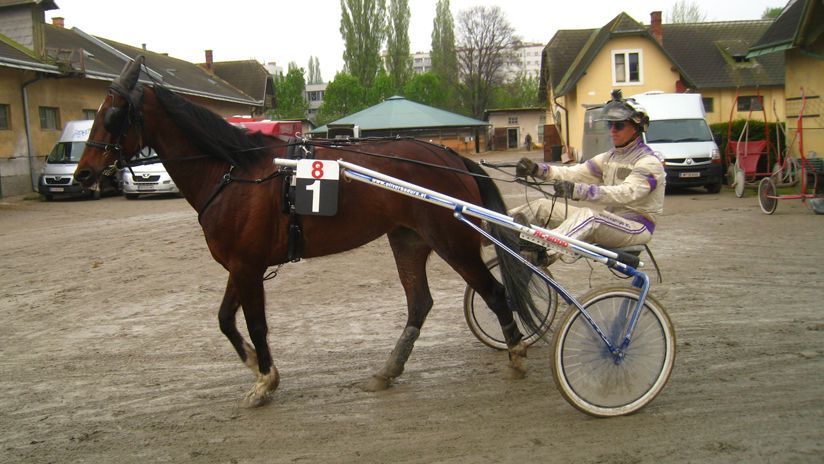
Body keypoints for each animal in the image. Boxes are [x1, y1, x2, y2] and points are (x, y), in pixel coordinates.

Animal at [75, 56, 540, 408]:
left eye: (112, 115)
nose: (83, 174)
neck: (234, 171)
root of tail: (450, 156)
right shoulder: (240, 265)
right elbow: (226, 320)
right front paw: (256, 366)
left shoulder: (247, 266)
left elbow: (256, 324)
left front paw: (264, 380)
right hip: (408, 240)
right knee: (419, 304)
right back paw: (387, 371)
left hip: (452, 243)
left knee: (494, 293)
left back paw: (517, 357)